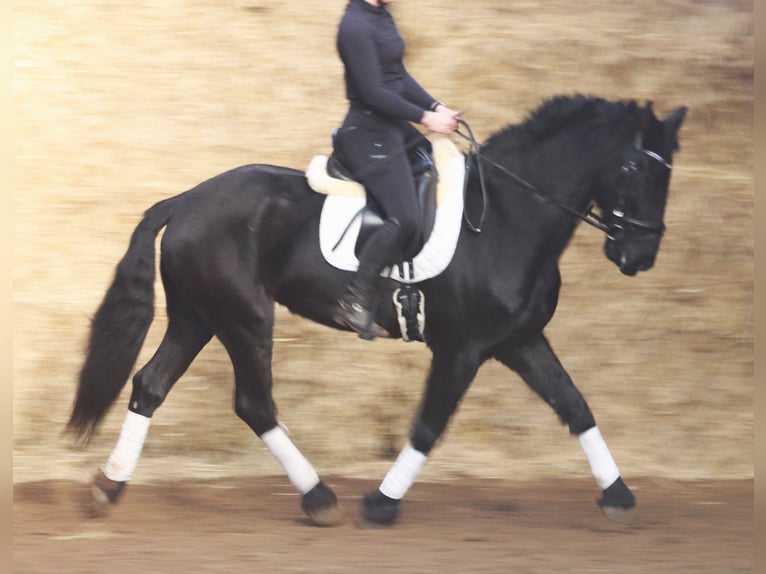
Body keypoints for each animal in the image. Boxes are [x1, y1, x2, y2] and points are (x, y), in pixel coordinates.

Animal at [66, 95, 688, 532]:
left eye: (669, 172)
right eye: (639, 169)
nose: (640, 256)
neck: (507, 219)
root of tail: (187, 200)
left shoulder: (520, 341)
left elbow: (576, 407)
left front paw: (619, 497)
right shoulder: (462, 350)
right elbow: (429, 425)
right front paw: (382, 504)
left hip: (199, 317)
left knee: (151, 385)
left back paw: (109, 487)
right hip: (244, 318)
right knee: (253, 403)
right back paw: (319, 498)